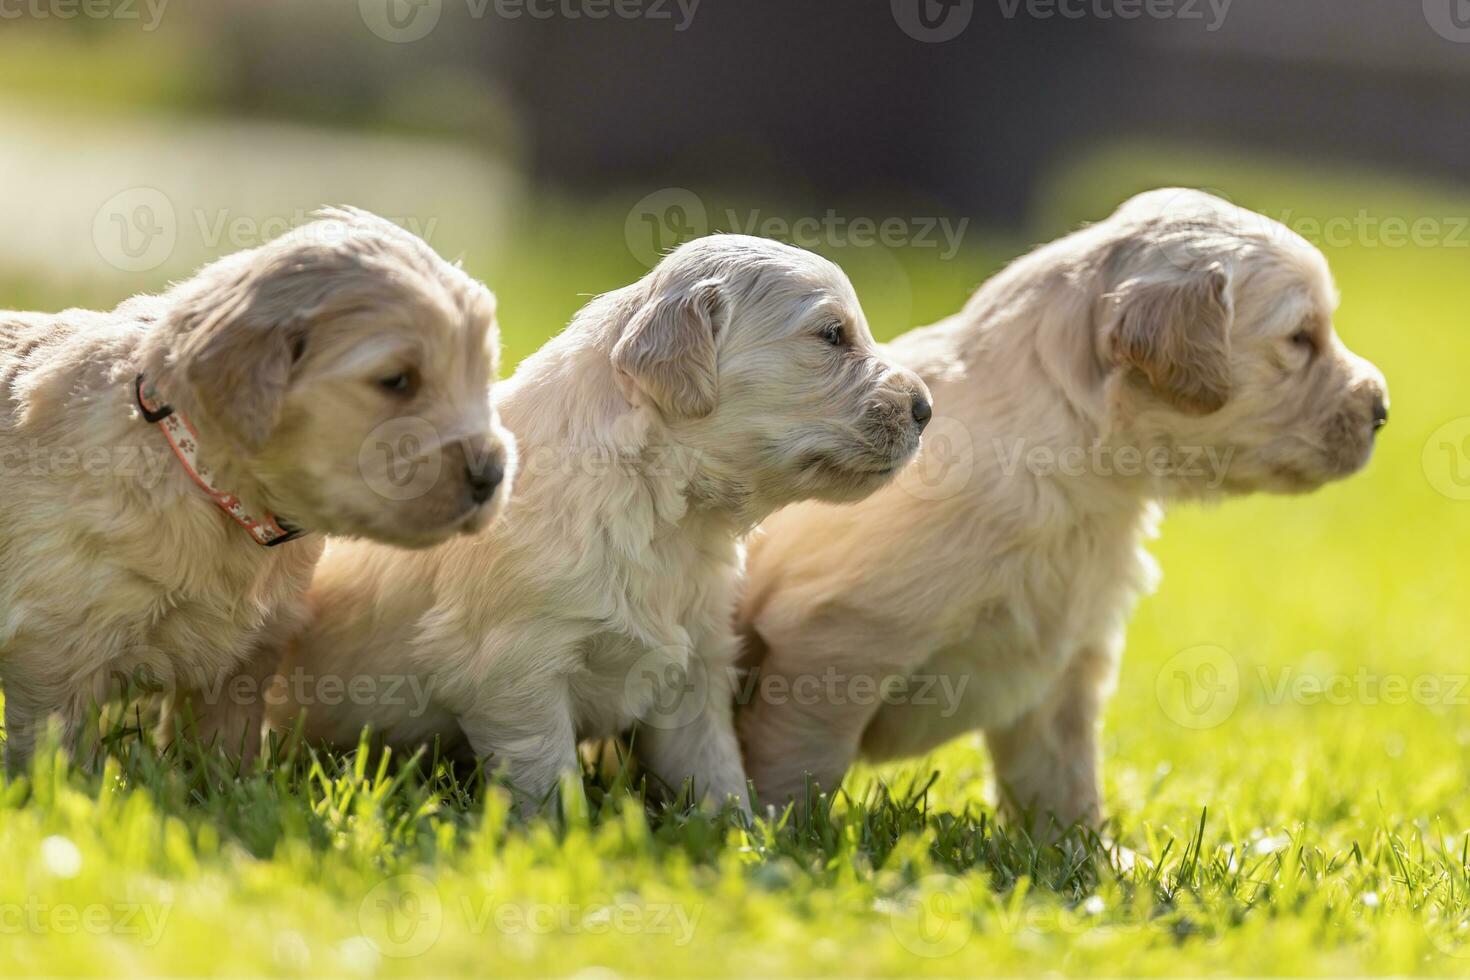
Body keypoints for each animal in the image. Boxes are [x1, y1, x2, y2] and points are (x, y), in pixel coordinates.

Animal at [1, 208, 511, 775]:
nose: (493, 474)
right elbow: (60, 754)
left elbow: (225, 750)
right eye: (397, 381)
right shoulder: (58, 644)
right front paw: (70, 789)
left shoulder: (248, 654)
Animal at [276, 235, 929, 811]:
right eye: (832, 335)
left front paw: (743, 838)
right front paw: (563, 841)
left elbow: (714, 770)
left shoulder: (695, 664)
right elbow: (547, 775)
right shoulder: (515, 667)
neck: (668, 509)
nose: (925, 408)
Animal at [735, 189, 1387, 828]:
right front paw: (787, 839)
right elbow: (802, 760)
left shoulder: (1059, 670)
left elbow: (1064, 786)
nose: (1382, 409)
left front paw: (1091, 856)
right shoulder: (838, 639)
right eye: (1300, 337)